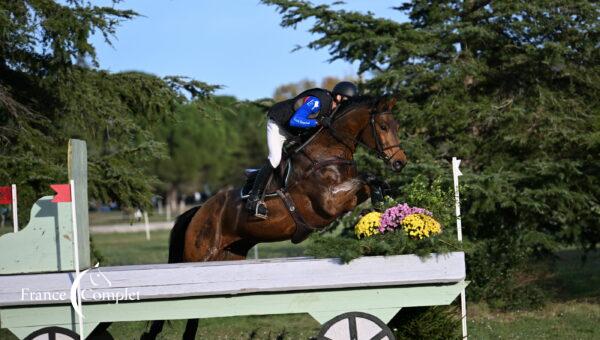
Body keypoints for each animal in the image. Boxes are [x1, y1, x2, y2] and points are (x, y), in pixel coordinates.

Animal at [141, 95, 410, 340]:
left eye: (397, 126)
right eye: (383, 127)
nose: (400, 163)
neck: (327, 154)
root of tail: (199, 210)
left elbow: (370, 181)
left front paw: (383, 200)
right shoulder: (328, 202)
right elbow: (366, 177)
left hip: (229, 256)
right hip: (198, 258)